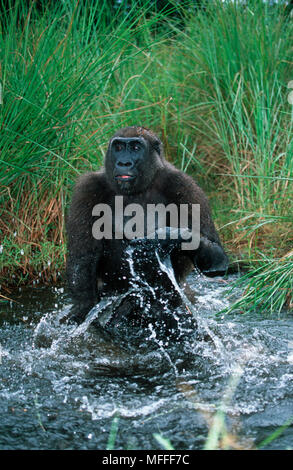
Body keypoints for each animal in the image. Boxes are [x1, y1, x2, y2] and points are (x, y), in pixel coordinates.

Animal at [66, 126, 228, 328]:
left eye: (136, 147)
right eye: (118, 147)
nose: (124, 163)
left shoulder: (184, 185)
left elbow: (216, 258)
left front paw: (169, 237)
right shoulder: (88, 188)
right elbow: (82, 257)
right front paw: (83, 307)